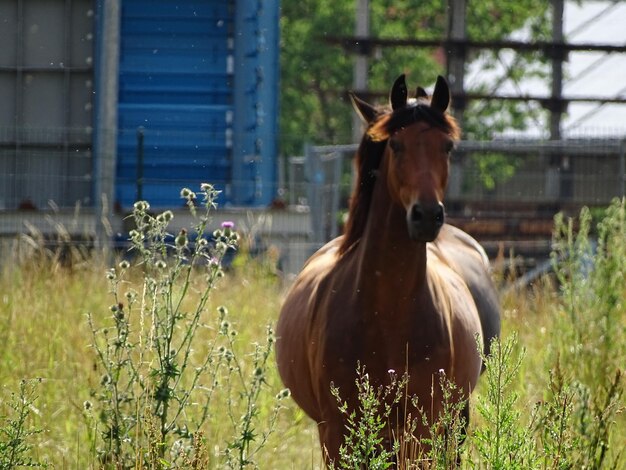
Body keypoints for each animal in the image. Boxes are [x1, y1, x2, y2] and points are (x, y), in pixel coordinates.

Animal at [276, 75, 500, 464]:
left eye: (448, 147)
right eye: (396, 144)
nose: (427, 216)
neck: (389, 316)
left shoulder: (422, 429)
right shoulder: (337, 433)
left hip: (452, 420)